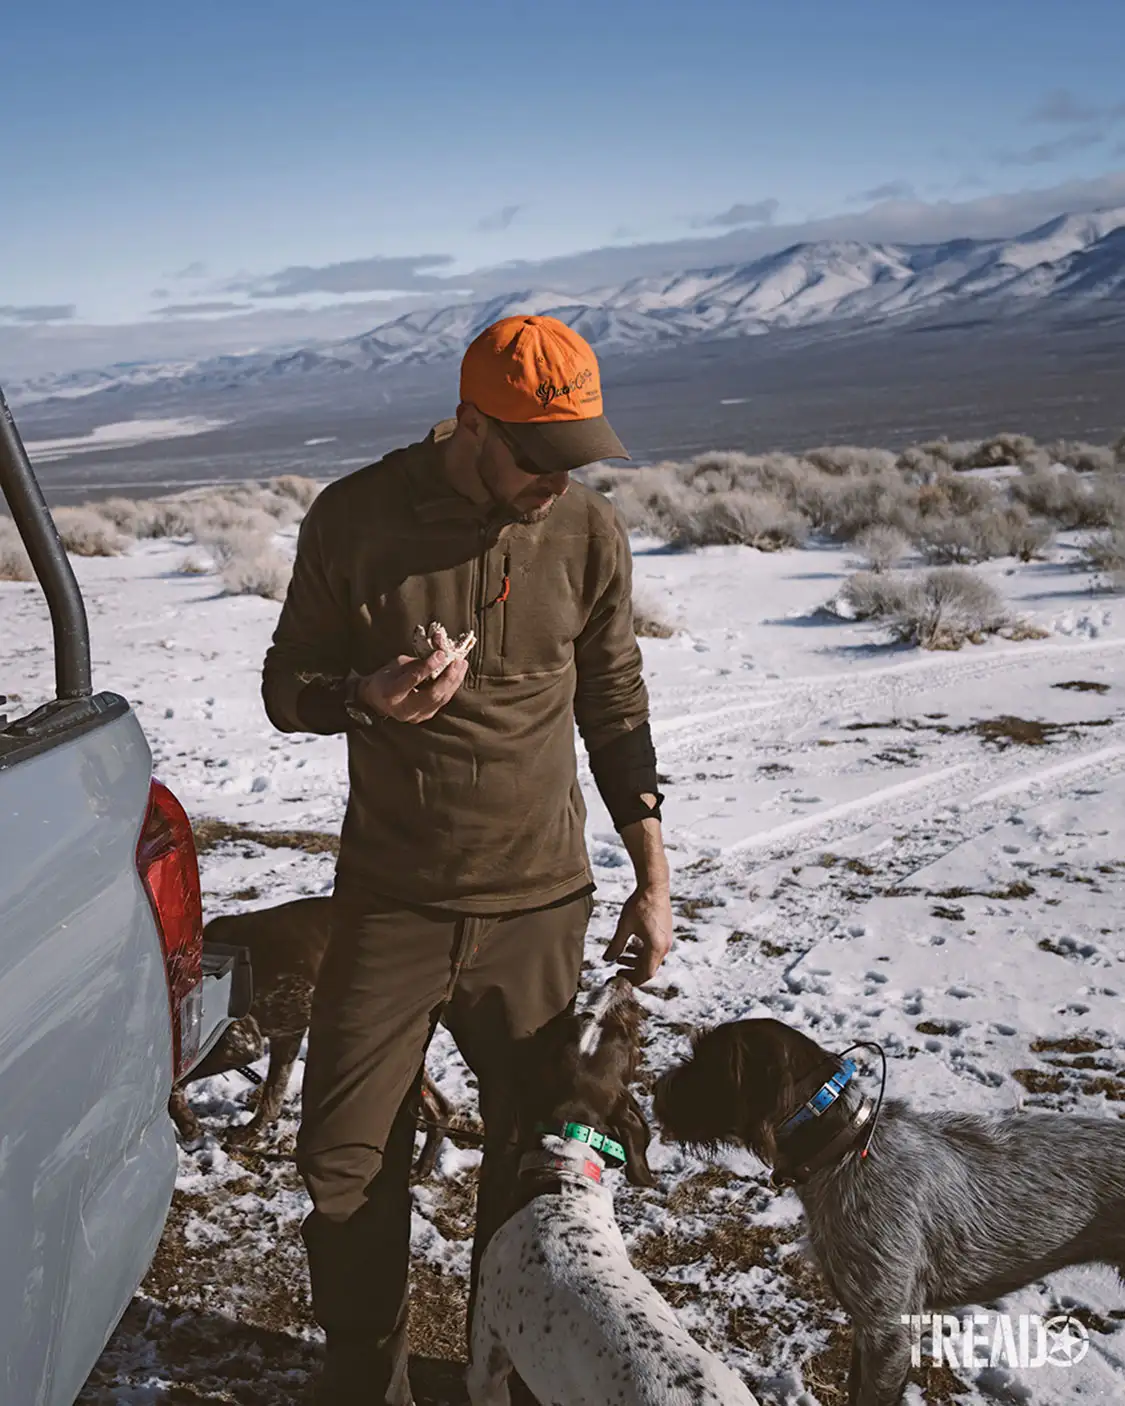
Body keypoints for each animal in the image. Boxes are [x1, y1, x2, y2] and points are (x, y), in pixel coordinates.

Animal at [169, 894, 450, 1169]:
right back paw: (422, 1168)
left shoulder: (241, 1043)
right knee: (441, 1107)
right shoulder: (286, 1038)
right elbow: (272, 1099)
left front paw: (189, 1127)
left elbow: (175, 1085)